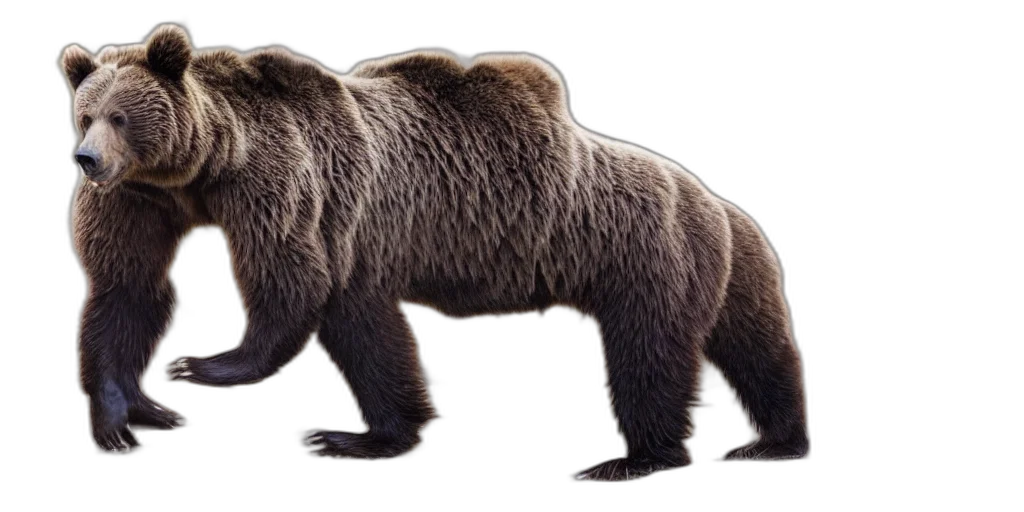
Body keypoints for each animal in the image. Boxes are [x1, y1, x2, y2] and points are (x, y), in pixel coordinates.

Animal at [60, 24, 810, 481]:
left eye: (120, 115)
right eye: (84, 113)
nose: (86, 159)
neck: (204, 166)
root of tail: (716, 200)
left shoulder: (281, 179)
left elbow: (287, 280)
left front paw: (203, 363)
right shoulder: (143, 198)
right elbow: (128, 288)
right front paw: (130, 411)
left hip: (643, 250)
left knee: (647, 352)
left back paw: (633, 458)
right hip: (728, 268)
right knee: (758, 345)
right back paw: (774, 438)